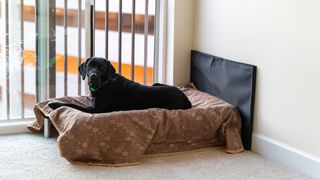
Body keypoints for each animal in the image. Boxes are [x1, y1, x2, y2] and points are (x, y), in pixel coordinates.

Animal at [48, 57, 191, 113]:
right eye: (89, 66)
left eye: (101, 67)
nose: (93, 76)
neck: (105, 83)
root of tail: (186, 98)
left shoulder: (95, 110)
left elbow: (72, 104)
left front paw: (54, 104)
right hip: (155, 84)